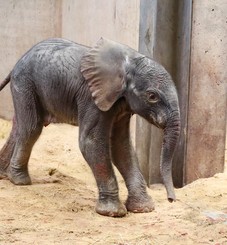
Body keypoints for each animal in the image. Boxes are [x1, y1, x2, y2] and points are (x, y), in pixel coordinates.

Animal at [0, 37, 181, 217]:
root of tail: (16, 63)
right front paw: (113, 212)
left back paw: (5, 175)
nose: (171, 199)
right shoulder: (91, 97)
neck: (130, 61)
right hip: (25, 83)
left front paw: (143, 209)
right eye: (152, 96)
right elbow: (91, 142)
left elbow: (121, 146)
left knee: (19, 125)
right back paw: (20, 180)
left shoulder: (121, 103)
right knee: (31, 127)